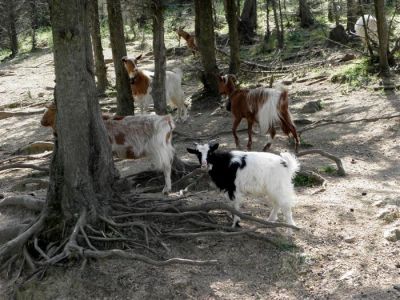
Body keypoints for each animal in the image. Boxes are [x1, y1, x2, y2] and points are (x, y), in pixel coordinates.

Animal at [40, 102, 175, 193]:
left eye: (51, 110)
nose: (42, 121)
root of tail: (165, 119)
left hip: (160, 148)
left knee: (167, 167)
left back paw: (166, 189)